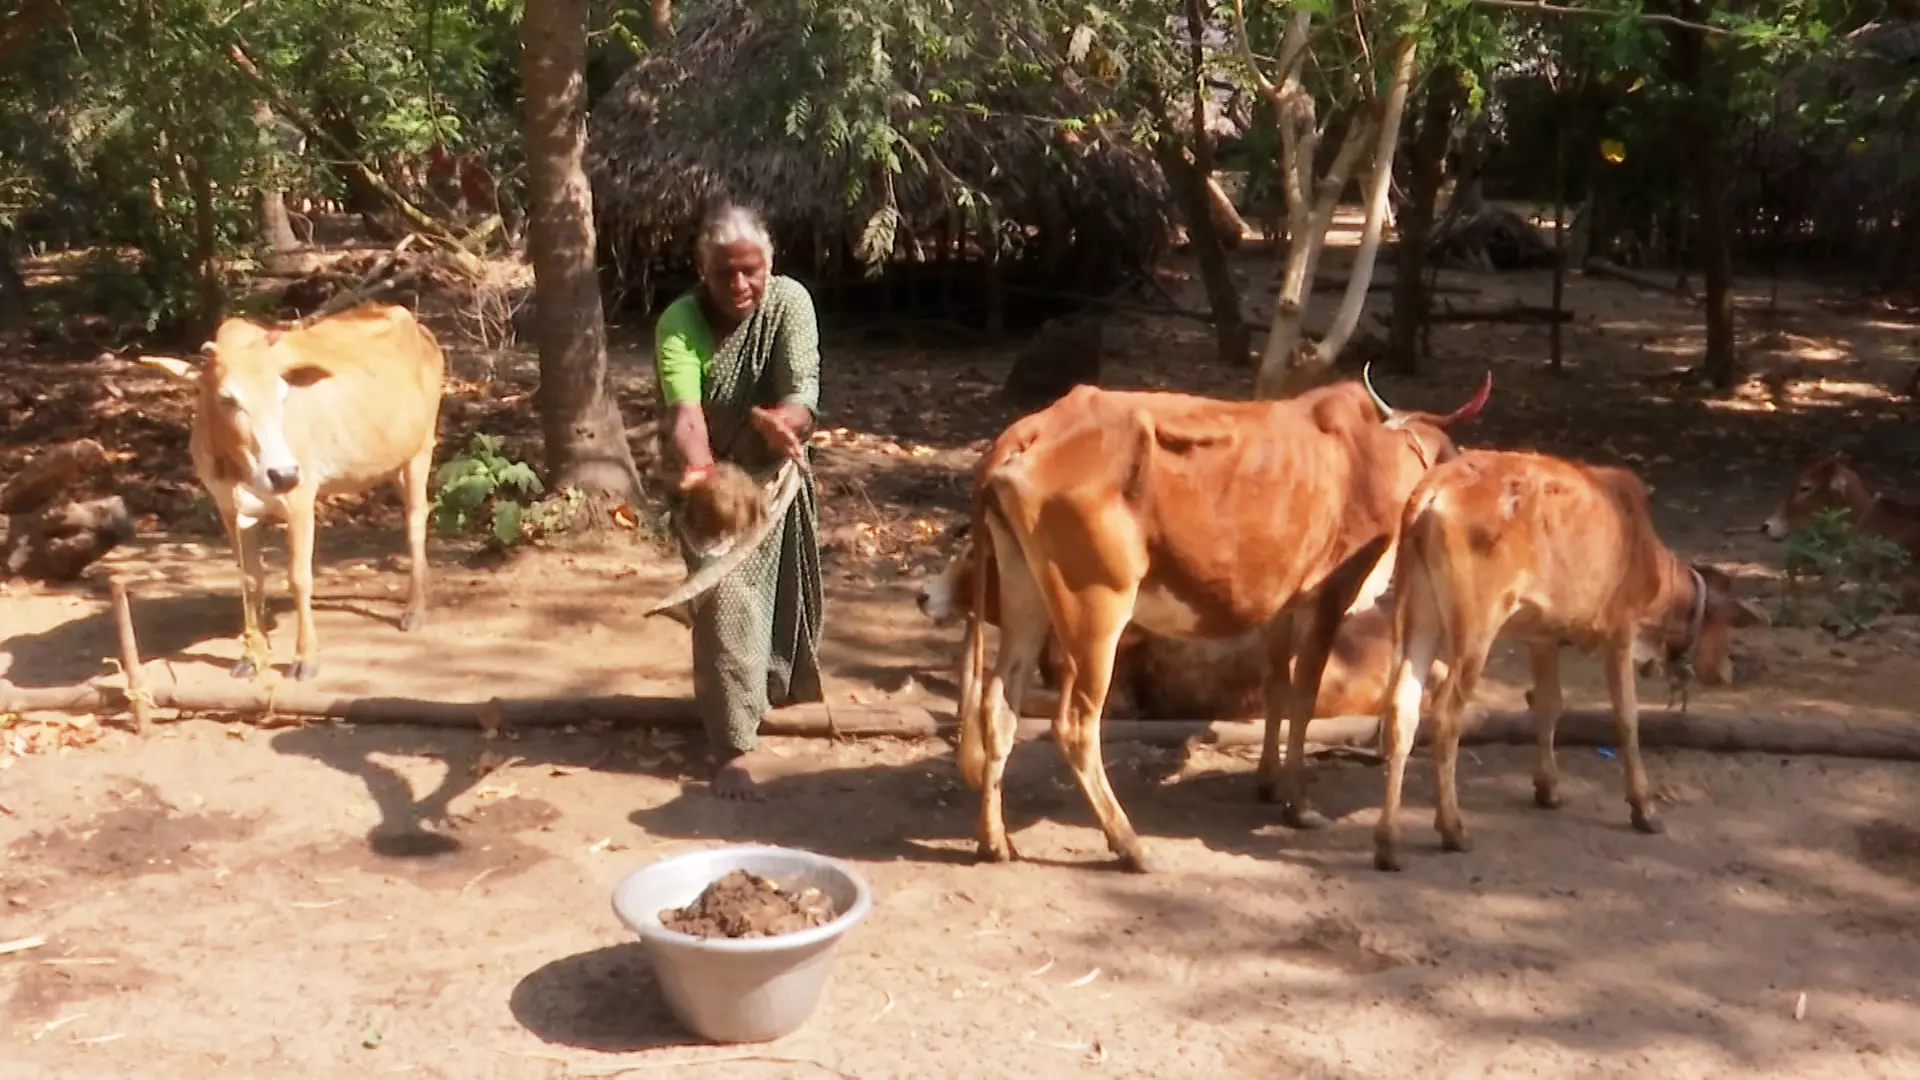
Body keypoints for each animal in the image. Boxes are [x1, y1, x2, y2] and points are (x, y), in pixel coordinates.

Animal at [139, 297, 445, 676]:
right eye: (227, 398)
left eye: (283, 395)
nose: (283, 473)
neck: (236, 466)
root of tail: (414, 324)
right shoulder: (229, 508)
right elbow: (250, 579)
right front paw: (251, 655)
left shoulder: (300, 499)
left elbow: (299, 578)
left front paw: (305, 658)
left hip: (420, 449)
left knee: (415, 522)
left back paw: (414, 610)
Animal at [956, 365, 1482, 868]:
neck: (1371, 455)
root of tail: (1035, 427)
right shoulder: (1330, 594)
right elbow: (1303, 699)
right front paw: (1299, 805)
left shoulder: (1282, 603)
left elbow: (1277, 687)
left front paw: (1269, 782)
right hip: (1098, 607)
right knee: (1075, 726)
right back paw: (1130, 845)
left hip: (1026, 592)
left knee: (997, 706)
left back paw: (993, 840)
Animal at [1382, 449, 1766, 868]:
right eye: (1726, 627)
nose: (1727, 672)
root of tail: (1432, 493)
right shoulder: (1620, 632)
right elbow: (1626, 718)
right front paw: (1643, 807)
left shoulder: (1542, 636)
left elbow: (1548, 704)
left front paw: (1548, 788)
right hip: (1475, 628)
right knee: (1445, 714)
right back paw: (1452, 828)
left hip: (1418, 615)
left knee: (1401, 709)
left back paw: (1389, 842)